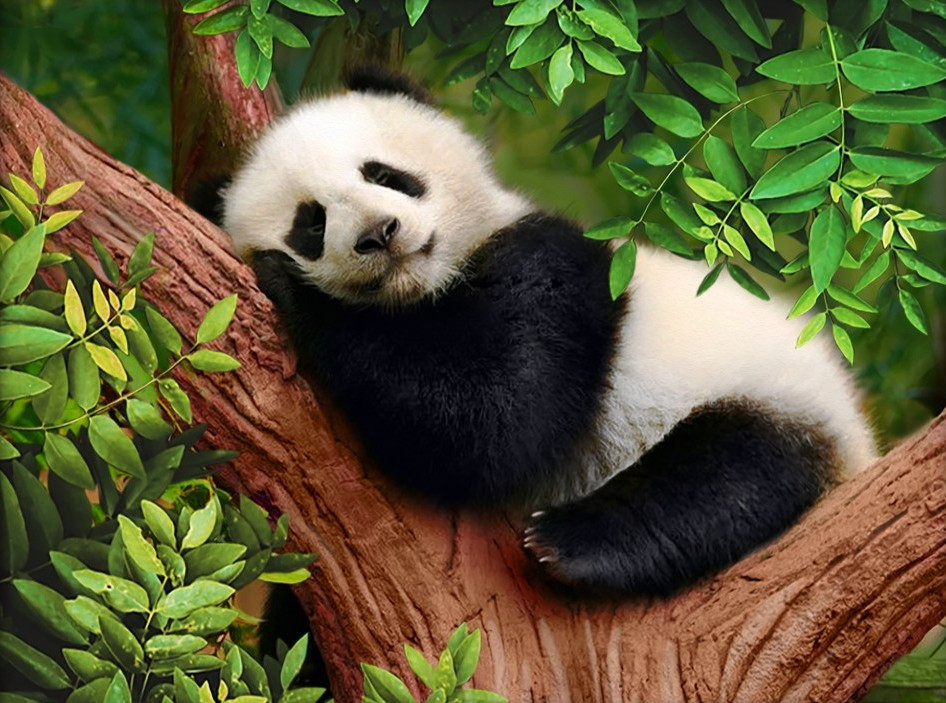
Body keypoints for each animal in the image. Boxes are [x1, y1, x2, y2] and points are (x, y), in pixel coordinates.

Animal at [216, 66, 876, 597]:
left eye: (385, 174)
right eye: (311, 223)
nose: (379, 233)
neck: (425, 290)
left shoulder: (559, 271)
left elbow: (496, 417)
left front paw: (293, 289)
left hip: (769, 391)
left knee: (729, 473)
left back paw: (573, 544)